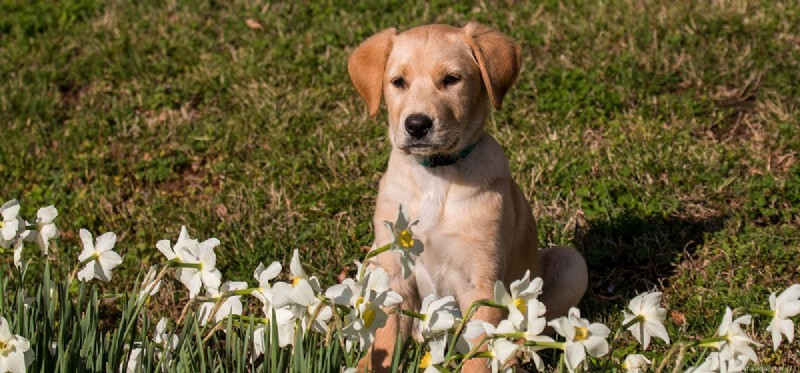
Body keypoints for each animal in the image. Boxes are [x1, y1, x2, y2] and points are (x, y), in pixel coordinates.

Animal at [348, 22, 588, 370]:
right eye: (398, 82)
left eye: (451, 79)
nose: (417, 125)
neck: (437, 175)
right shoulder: (395, 274)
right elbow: (386, 337)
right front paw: (369, 364)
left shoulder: (481, 281)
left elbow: (480, 350)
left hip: (571, 264)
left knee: (528, 333)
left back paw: (515, 358)